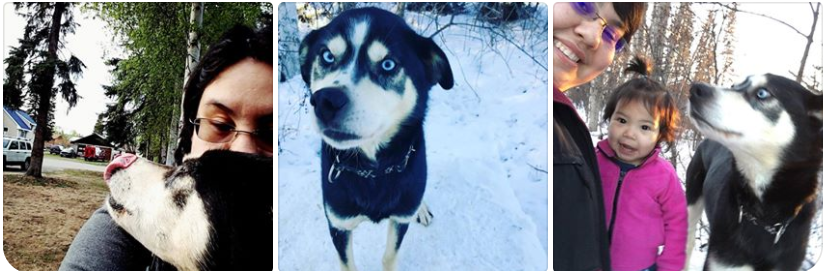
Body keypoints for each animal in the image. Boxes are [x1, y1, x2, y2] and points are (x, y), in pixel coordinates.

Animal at [298, 6, 452, 271]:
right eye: (327, 56)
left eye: (388, 64)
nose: (326, 101)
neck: (374, 171)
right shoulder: (338, 223)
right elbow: (347, 263)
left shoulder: (400, 218)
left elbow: (389, 255)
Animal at [684, 73, 820, 270]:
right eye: (734, 86)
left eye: (762, 93)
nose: (695, 89)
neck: (763, 219)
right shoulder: (723, 263)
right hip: (692, 201)